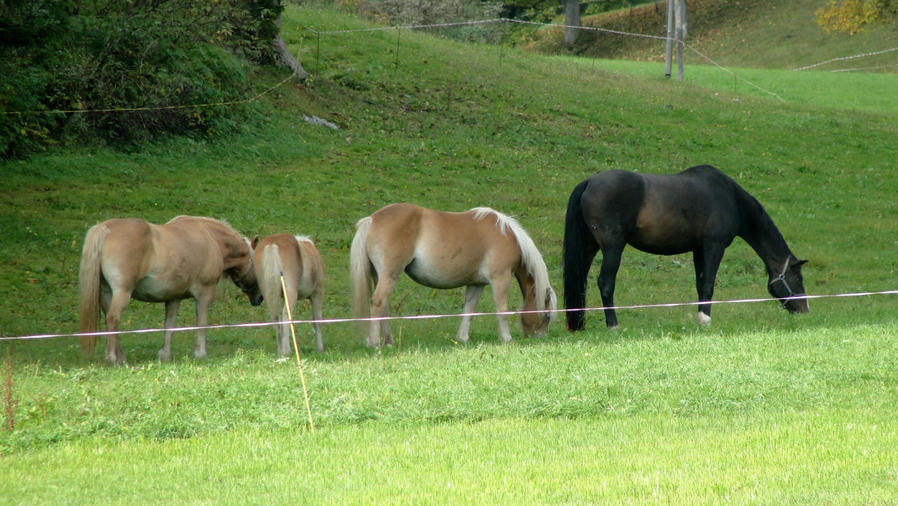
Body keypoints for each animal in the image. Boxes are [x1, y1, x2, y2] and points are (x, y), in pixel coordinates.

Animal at [78, 215, 260, 366]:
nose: (259, 298)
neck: (210, 238)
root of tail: (105, 228)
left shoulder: (173, 297)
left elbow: (169, 325)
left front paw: (165, 354)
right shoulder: (205, 294)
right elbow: (201, 323)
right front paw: (200, 353)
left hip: (107, 294)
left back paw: (121, 357)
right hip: (122, 293)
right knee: (113, 319)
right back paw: (112, 358)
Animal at [348, 204, 552, 346]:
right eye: (547, 316)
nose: (541, 337)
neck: (506, 235)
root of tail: (373, 219)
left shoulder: (476, 284)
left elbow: (469, 311)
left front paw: (462, 338)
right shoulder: (500, 278)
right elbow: (502, 310)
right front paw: (507, 338)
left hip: (380, 276)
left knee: (384, 306)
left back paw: (388, 341)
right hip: (390, 274)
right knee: (378, 303)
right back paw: (375, 342)